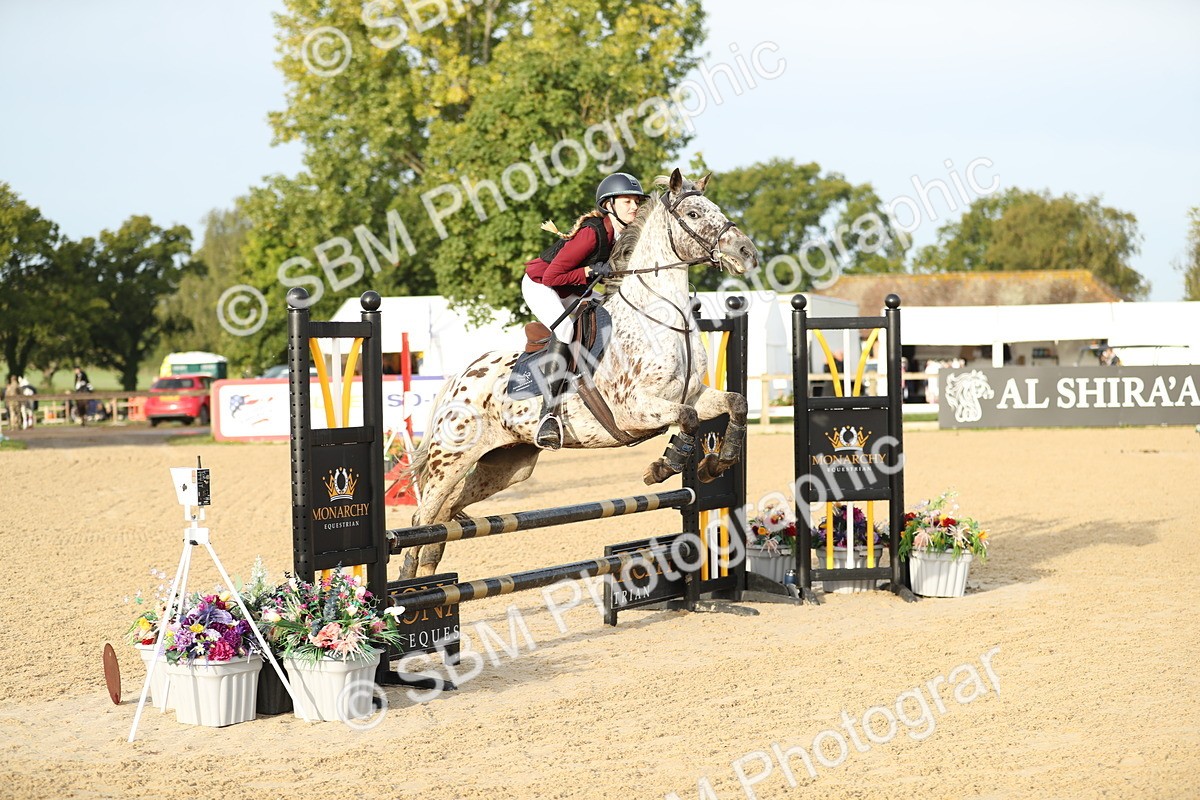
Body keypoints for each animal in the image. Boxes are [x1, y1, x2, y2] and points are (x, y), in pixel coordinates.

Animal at [398, 169, 759, 579]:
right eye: (694, 214)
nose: (747, 253)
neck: (662, 317)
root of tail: (460, 378)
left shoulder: (694, 393)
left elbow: (735, 403)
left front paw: (718, 462)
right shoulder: (632, 409)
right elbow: (688, 419)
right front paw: (663, 466)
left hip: (506, 466)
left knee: (445, 513)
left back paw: (430, 569)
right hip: (451, 458)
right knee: (423, 518)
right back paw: (408, 584)